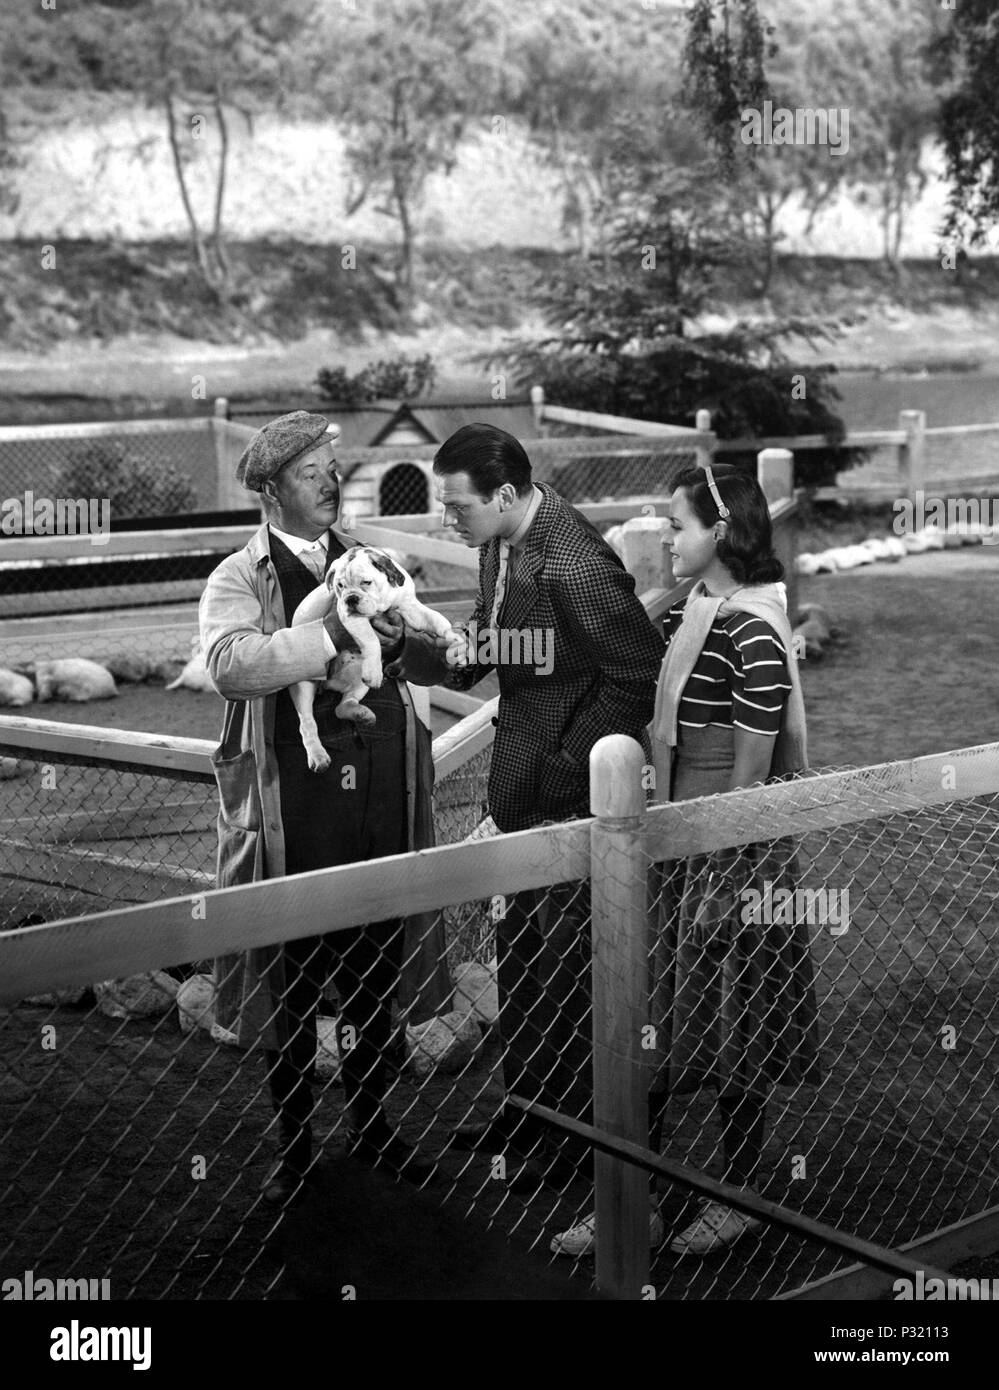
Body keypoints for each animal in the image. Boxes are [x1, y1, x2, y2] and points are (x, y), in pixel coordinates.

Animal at [284, 542, 464, 772]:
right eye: (339, 586)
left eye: (366, 582)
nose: (351, 598)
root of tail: (330, 683)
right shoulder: (351, 619)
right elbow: (371, 640)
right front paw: (374, 667)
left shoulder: (410, 606)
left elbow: (437, 620)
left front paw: (455, 642)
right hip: (304, 684)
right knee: (306, 721)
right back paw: (318, 756)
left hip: (358, 683)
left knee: (342, 706)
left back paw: (360, 713)